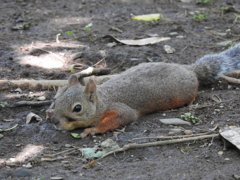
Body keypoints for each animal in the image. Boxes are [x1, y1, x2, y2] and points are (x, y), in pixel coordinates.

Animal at [47, 43, 240, 137]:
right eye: (56, 100)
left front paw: (94, 129)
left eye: (77, 108)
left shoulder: (119, 108)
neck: (102, 101)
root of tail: (190, 70)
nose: (55, 121)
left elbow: (122, 117)